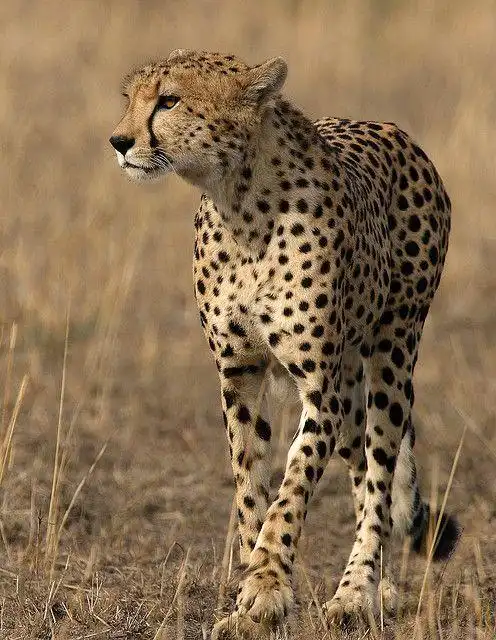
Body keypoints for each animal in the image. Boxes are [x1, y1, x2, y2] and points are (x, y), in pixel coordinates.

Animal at [110, 49, 459, 638]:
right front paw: (252, 597)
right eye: (130, 98)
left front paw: (268, 587)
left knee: (381, 470)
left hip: (392, 354)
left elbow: (291, 487)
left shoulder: (319, 388)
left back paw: (357, 591)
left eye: (169, 100)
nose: (118, 141)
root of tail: (393, 130)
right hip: (352, 385)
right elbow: (251, 485)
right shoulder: (240, 376)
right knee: (366, 471)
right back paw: (381, 585)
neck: (239, 203)